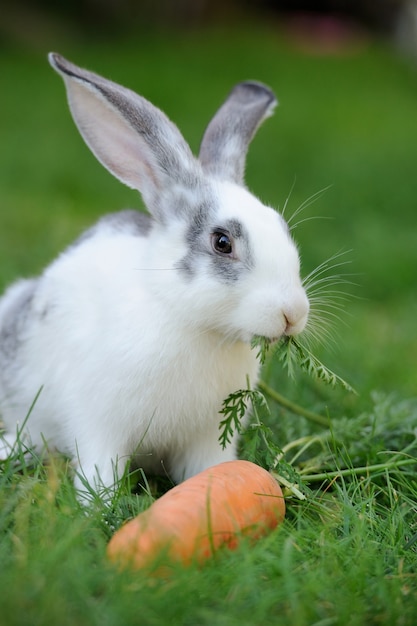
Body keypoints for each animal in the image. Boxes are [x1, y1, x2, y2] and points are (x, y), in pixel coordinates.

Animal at [0, 52, 308, 492]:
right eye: (222, 242)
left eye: (281, 227)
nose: (293, 314)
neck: (193, 323)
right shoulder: (100, 427)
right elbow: (100, 472)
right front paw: (98, 504)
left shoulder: (205, 440)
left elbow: (207, 469)